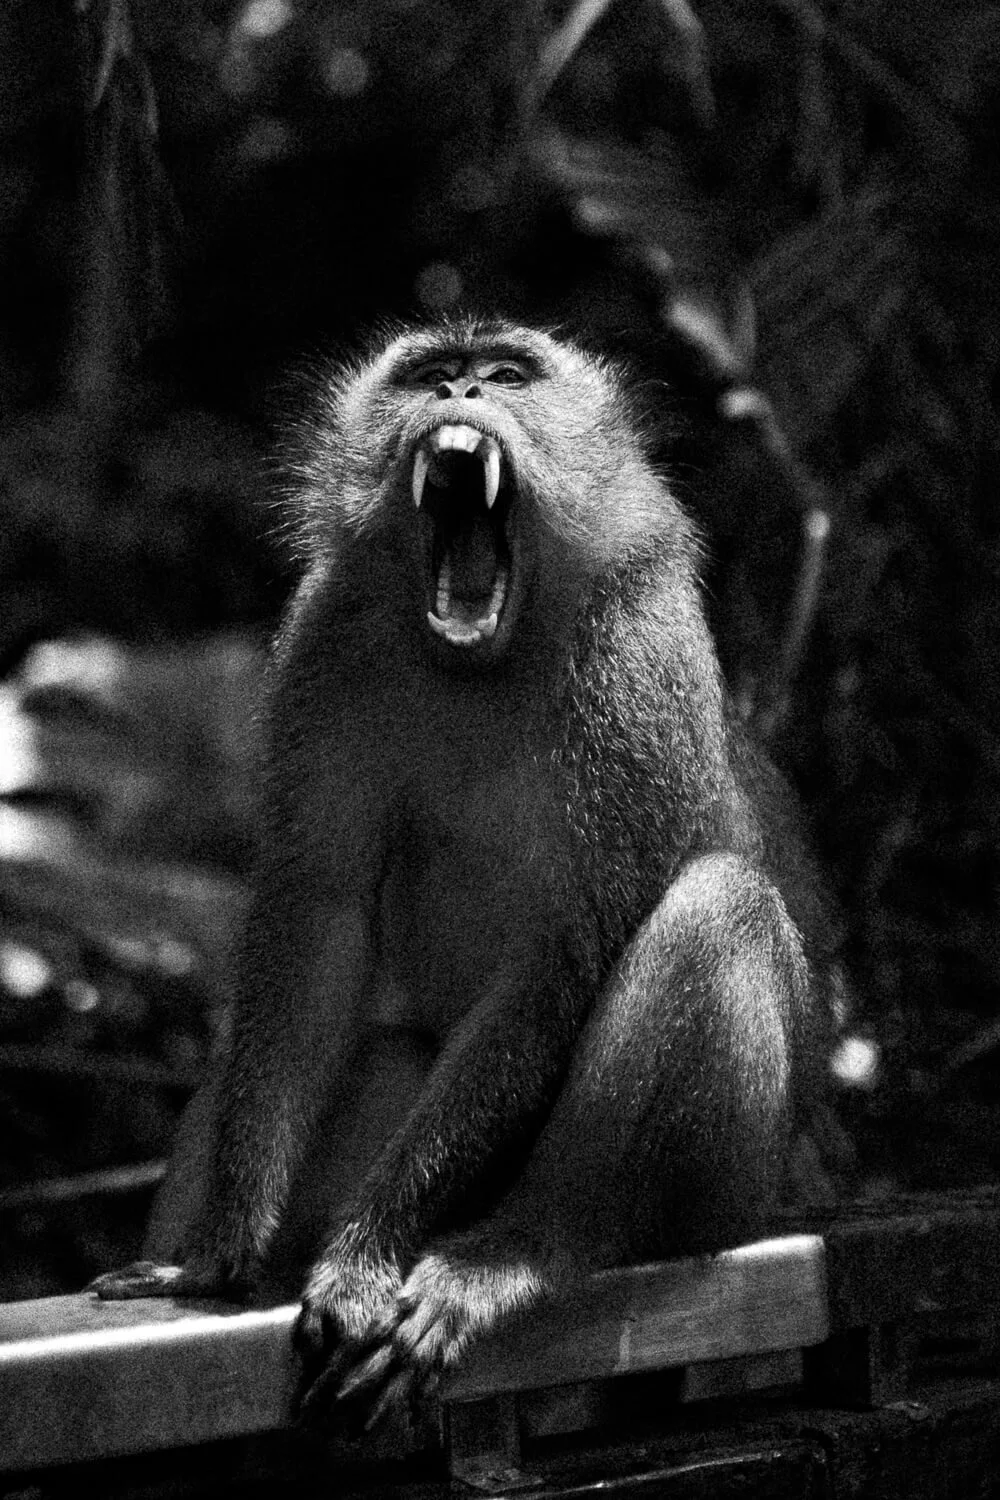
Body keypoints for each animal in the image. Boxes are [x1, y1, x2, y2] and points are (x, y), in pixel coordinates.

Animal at [91, 317, 840, 1429]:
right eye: (430, 373)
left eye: (508, 374)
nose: (460, 391)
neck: (489, 653)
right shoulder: (327, 637)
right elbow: (318, 915)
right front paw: (222, 1249)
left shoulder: (637, 650)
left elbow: (559, 955)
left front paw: (362, 1259)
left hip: (734, 1190)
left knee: (717, 909)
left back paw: (520, 1253)